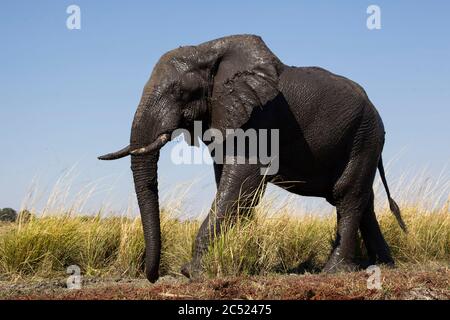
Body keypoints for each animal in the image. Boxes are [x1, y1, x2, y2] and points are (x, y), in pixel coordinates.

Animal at [99, 33, 408, 282]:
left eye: (179, 91)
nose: (152, 277)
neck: (207, 51)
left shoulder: (260, 116)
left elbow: (241, 182)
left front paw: (193, 272)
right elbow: (230, 183)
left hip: (364, 136)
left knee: (347, 195)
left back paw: (334, 271)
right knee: (362, 199)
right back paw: (383, 265)